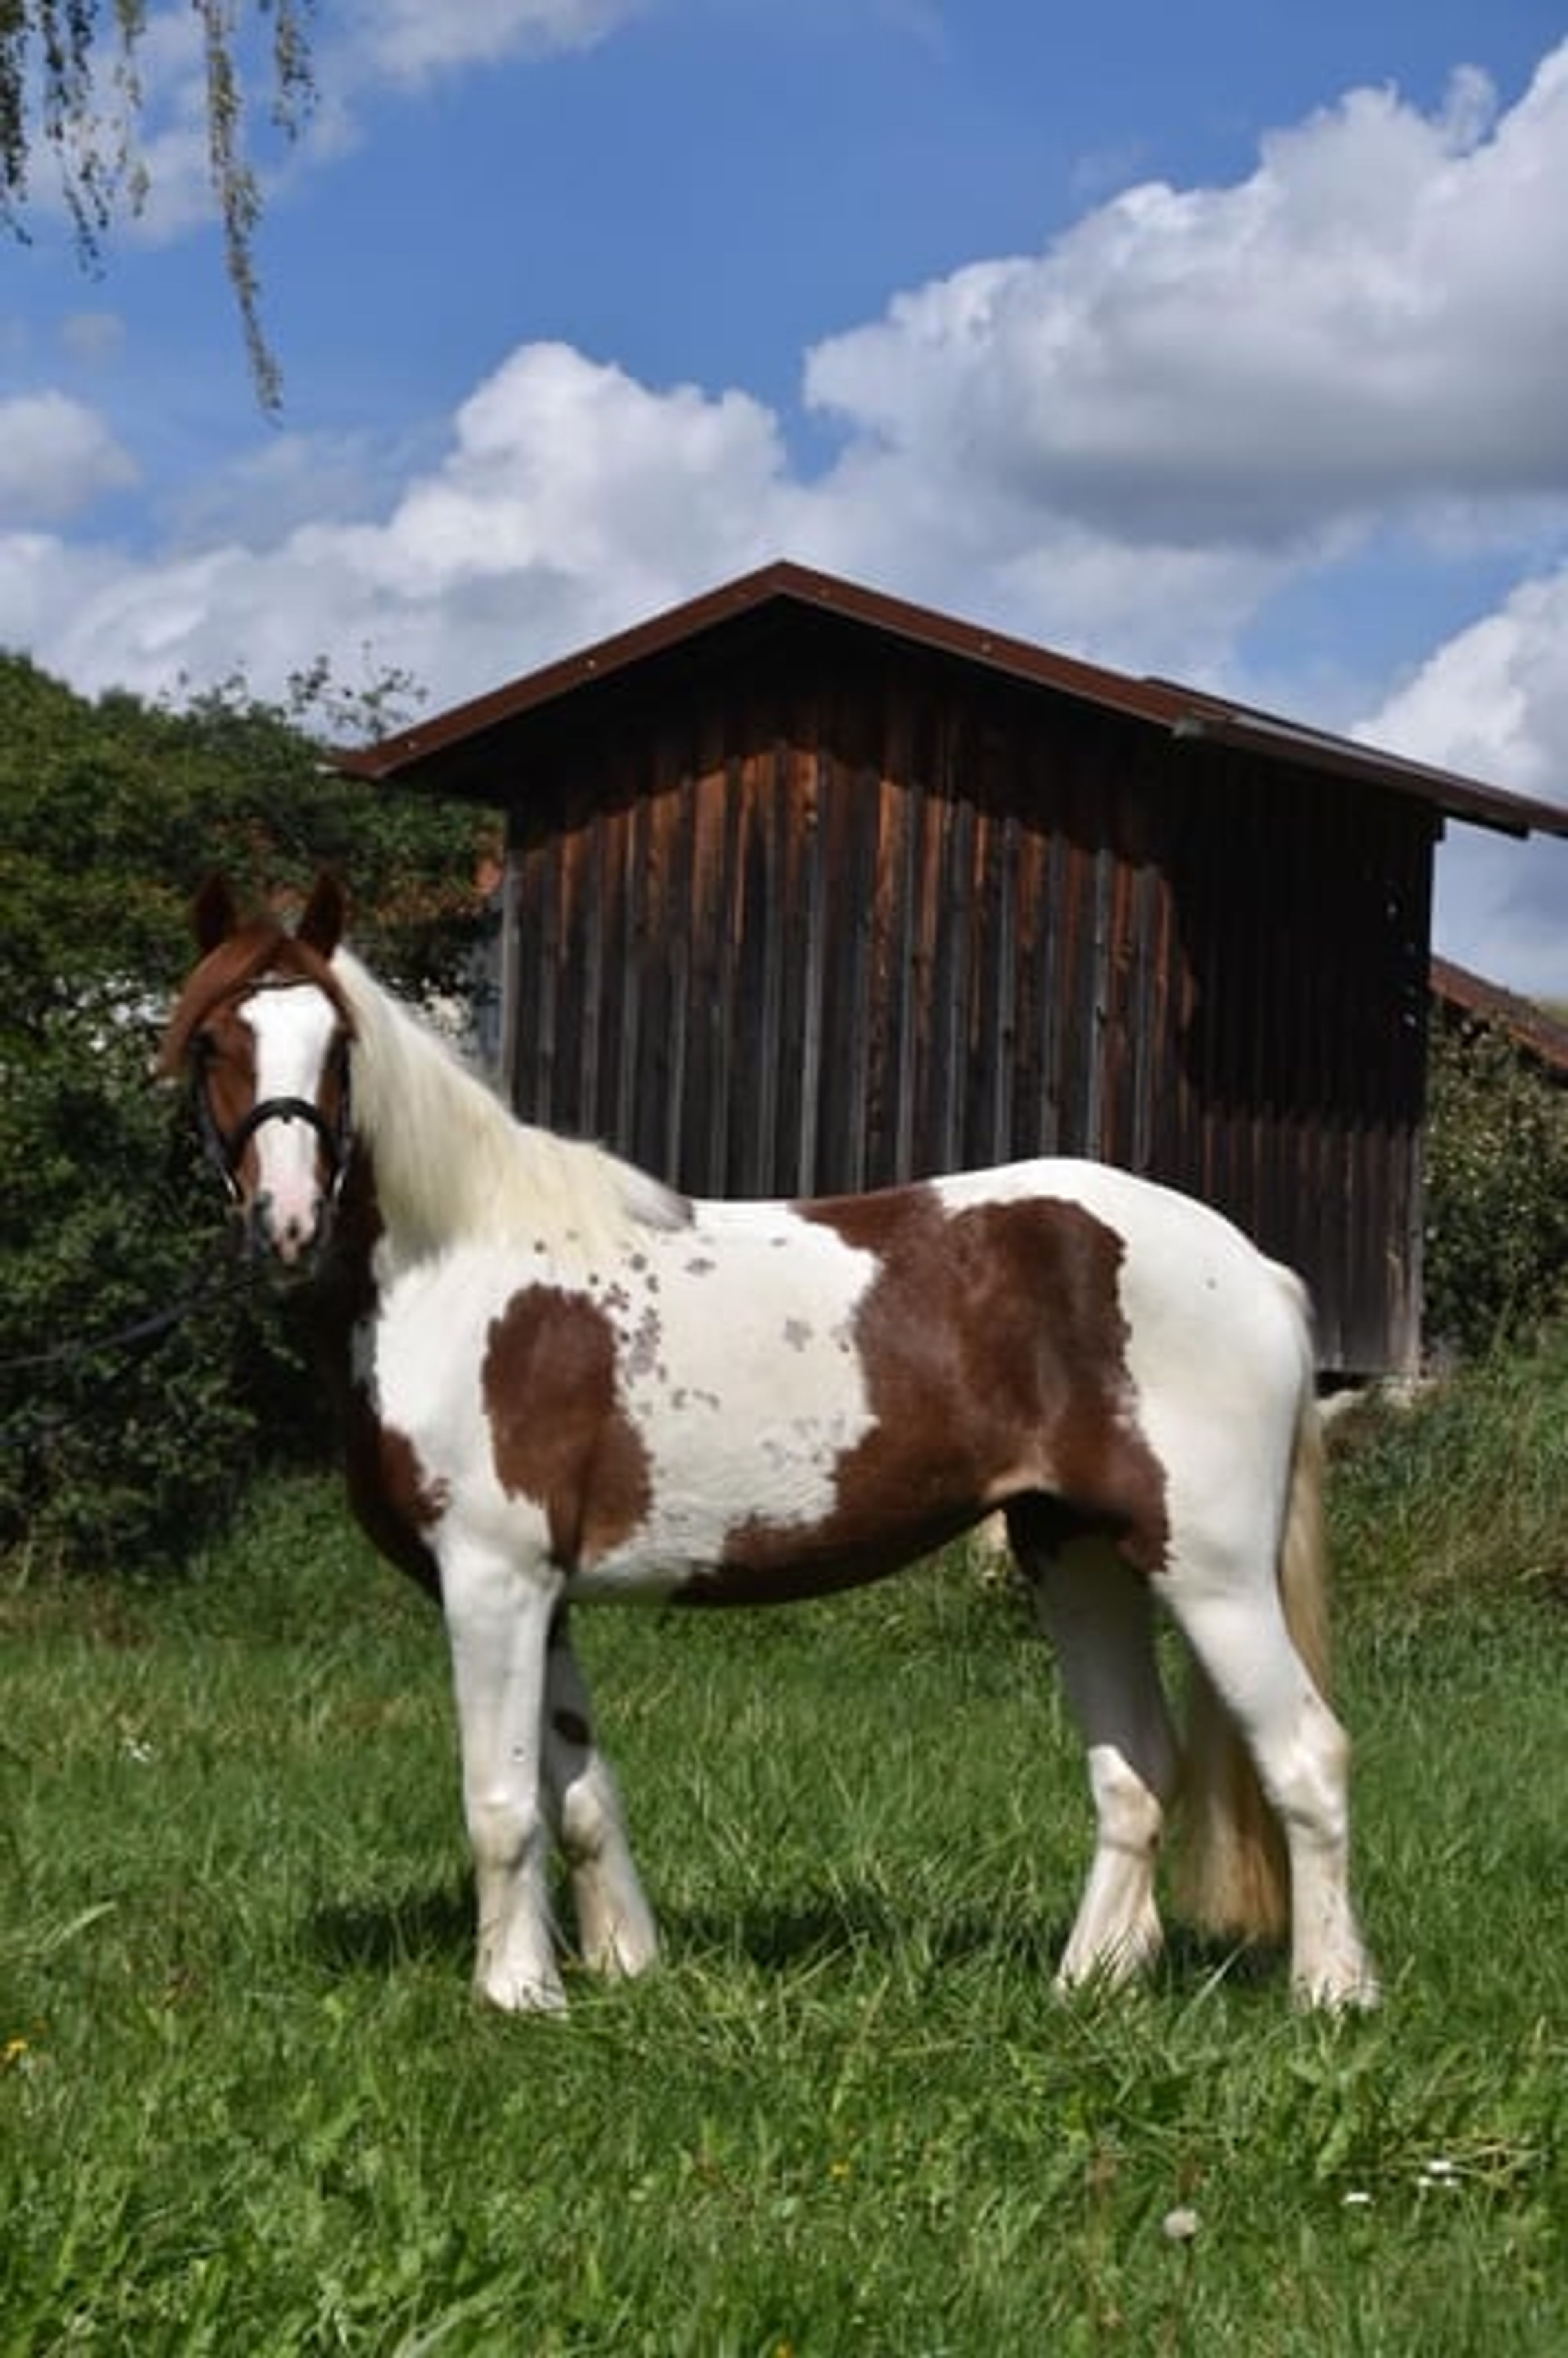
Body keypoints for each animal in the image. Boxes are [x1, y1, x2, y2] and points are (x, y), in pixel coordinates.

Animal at [159, 873, 1377, 2015]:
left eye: (338, 1045)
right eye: (216, 1038)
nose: (288, 1221)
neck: (461, 1268)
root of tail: (1254, 1267)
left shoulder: (491, 1579)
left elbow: (500, 1802)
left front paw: (515, 1992)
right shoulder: (542, 1591)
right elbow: (581, 1789)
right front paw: (623, 1965)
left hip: (1209, 1570)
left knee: (1306, 1755)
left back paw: (1333, 1990)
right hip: (1075, 1552)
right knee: (1136, 1767)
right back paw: (1087, 1984)